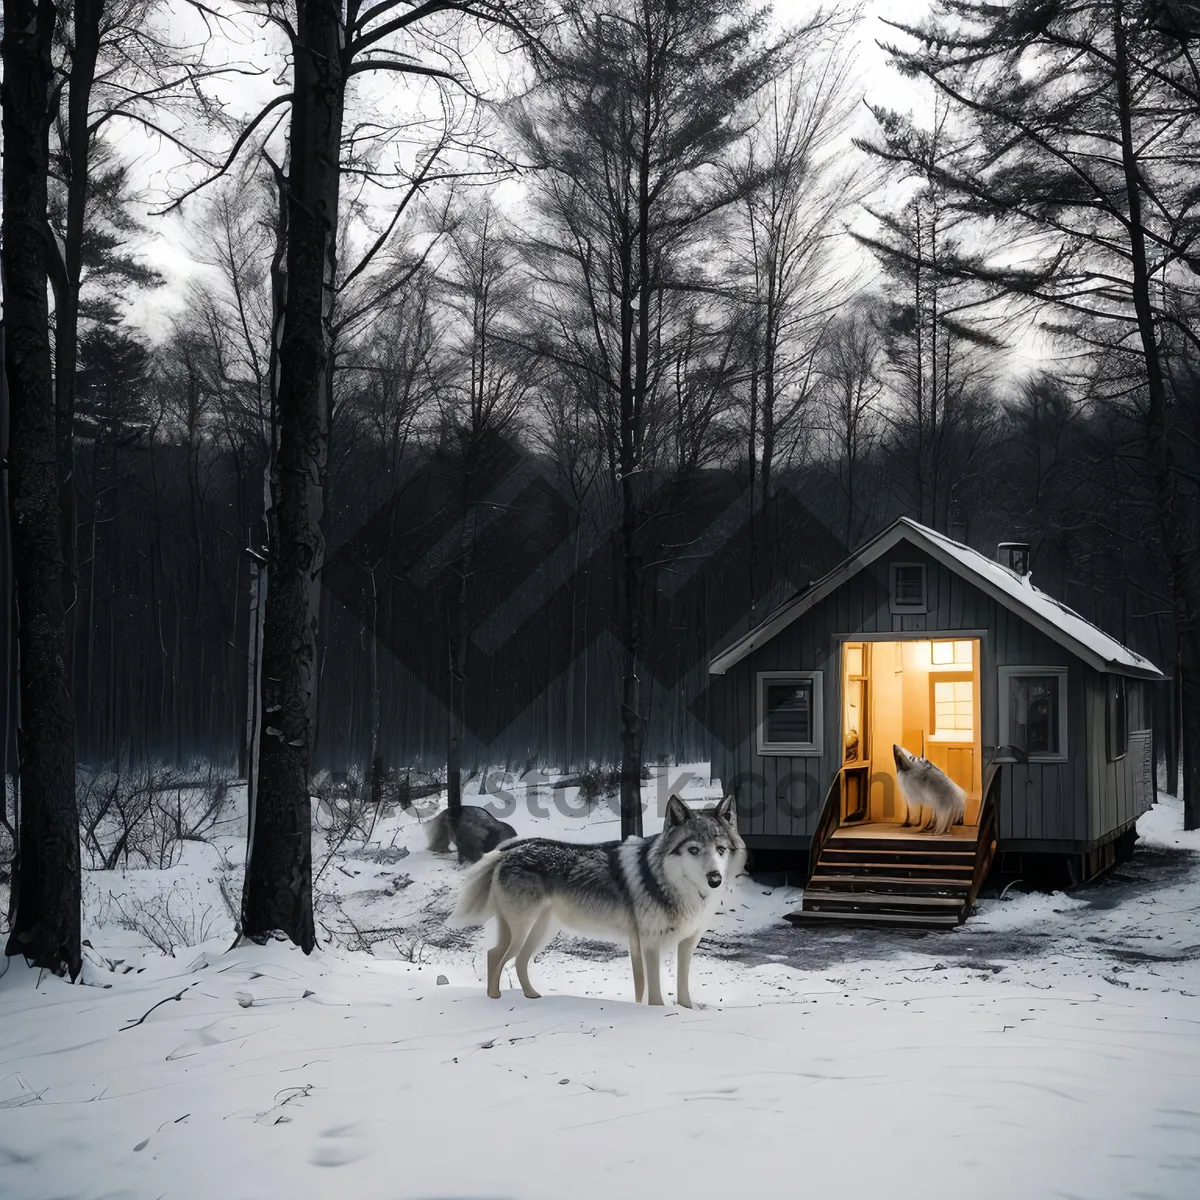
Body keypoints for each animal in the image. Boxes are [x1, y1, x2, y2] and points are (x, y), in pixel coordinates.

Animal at [451, 801, 744, 1008]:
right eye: (694, 850)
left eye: (720, 850)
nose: (715, 879)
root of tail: (509, 850)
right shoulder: (649, 943)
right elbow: (655, 993)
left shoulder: (682, 944)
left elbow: (675, 990)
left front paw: (684, 1012)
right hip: (523, 931)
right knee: (496, 956)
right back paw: (496, 1002)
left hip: (541, 933)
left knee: (515, 960)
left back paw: (532, 996)